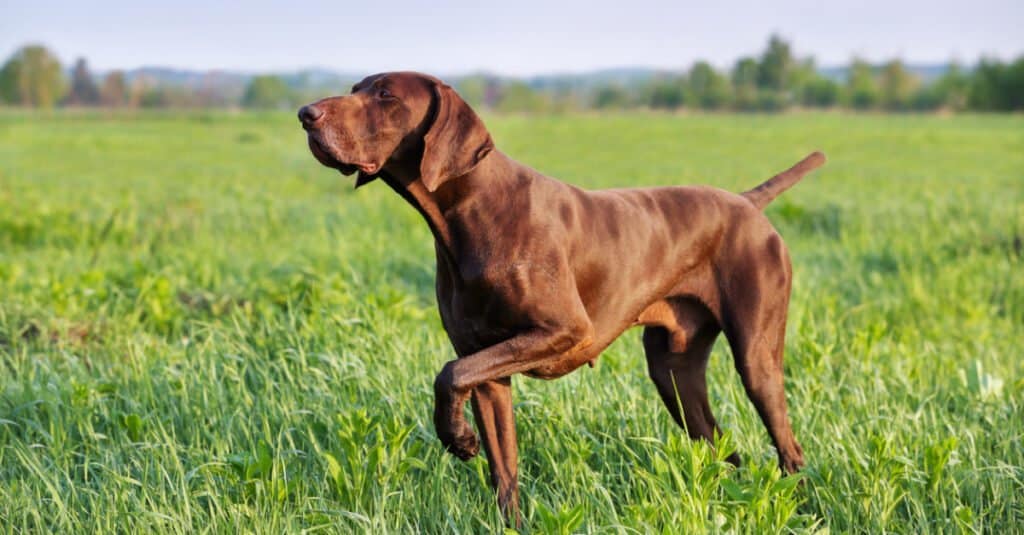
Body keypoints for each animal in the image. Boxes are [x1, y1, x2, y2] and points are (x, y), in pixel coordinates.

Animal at [299, 70, 823, 520]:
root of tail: (747, 203)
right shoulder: (488, 371)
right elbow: (502, 468)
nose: (306, 113)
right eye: (356, 89)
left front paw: (457, 438)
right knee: (722, 448)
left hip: (756, 360)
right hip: (673, 372)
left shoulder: (564, 330)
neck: (471, 213)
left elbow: (448, 374)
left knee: (789, 449)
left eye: (385, 95)